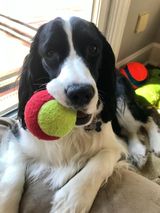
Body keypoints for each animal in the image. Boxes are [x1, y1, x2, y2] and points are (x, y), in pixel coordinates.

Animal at [0, 15, 124, 212]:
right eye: (50, 53)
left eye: (93, 48)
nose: (80, 93)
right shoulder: (18, 137)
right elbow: (11, 179)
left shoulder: (114, 146)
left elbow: (102, 160)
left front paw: (72, 199)